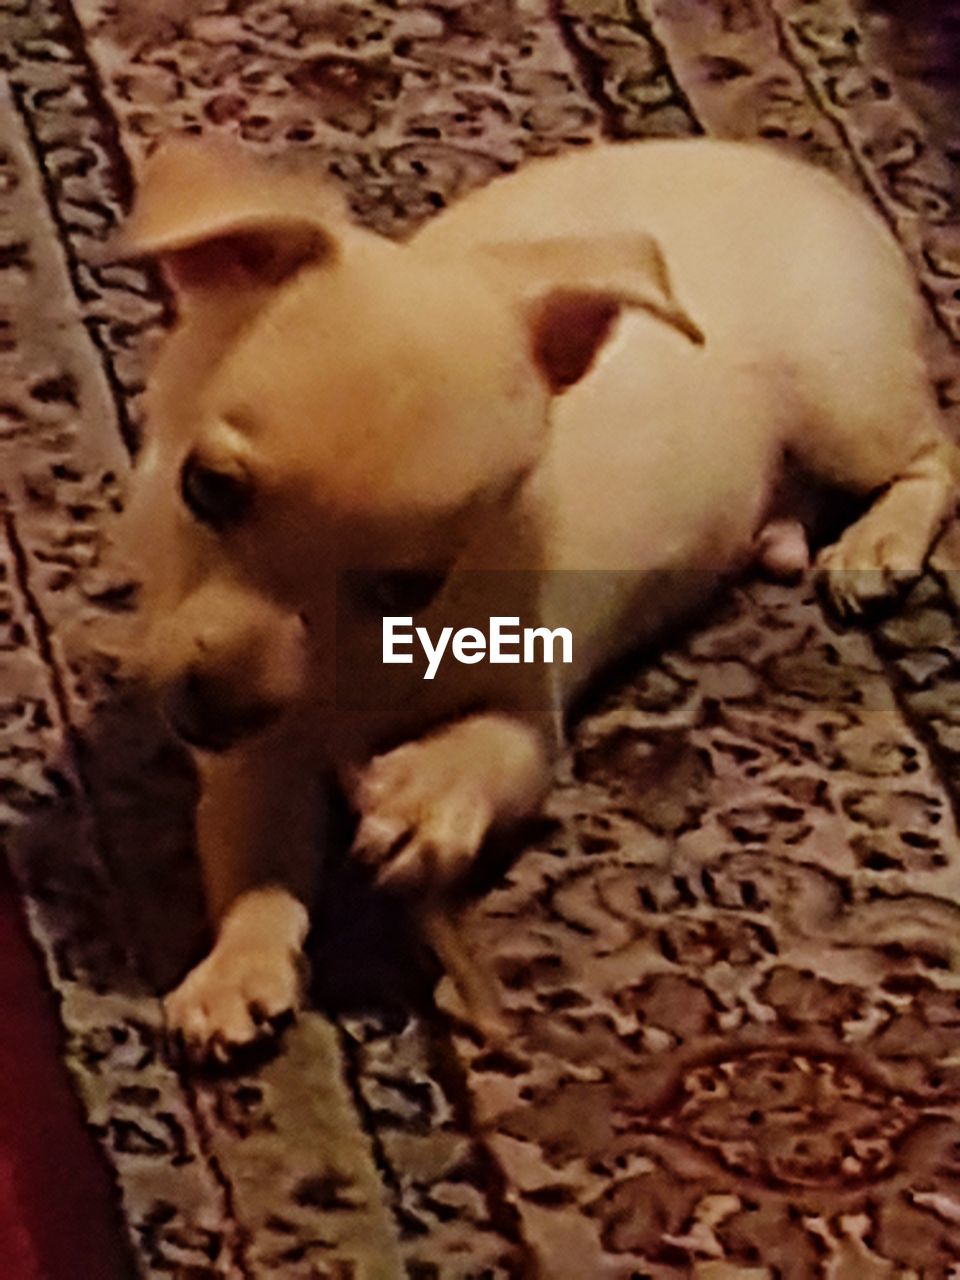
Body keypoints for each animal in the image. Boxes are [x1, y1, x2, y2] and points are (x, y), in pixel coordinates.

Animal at [108, 137, 957, 1059]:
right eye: (206, 487)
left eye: (408, 587)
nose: (210, 707)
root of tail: (808, 176)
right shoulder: (252, 761)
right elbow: (254, 853)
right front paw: (238, 966)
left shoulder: (526, 708)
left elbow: (492, 746)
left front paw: (424, 797)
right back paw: (781, 533)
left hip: (846, 406)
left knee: (934, 453)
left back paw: (878, 543)